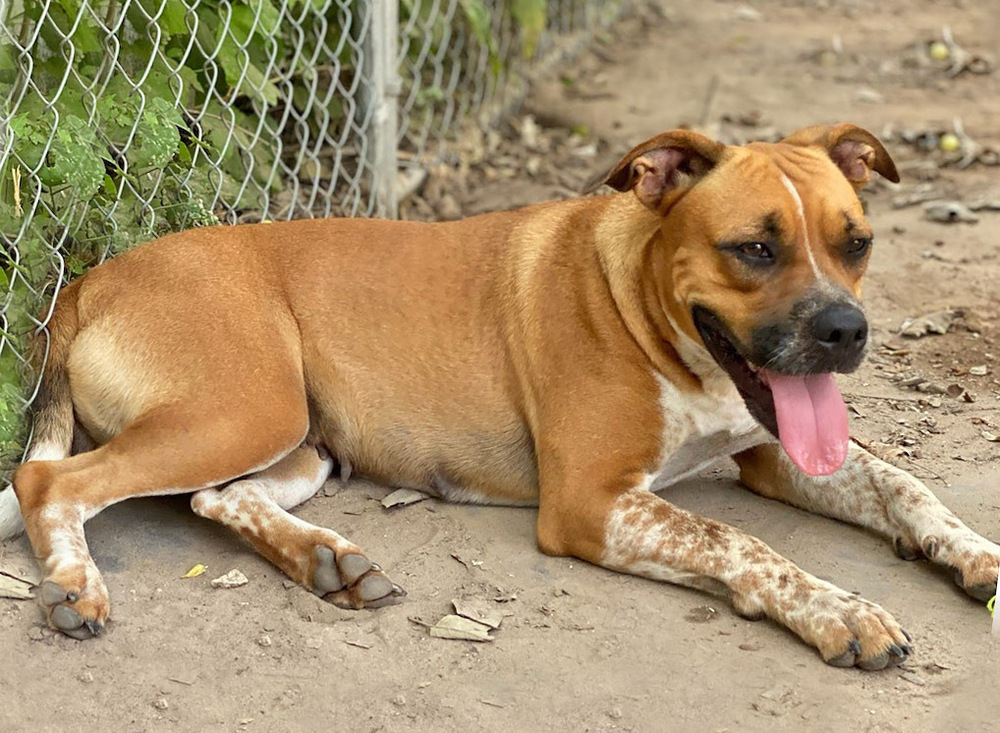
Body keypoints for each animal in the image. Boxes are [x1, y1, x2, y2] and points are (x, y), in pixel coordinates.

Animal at [1, 123, 1000, 668]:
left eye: (857, 241)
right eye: (753, 248)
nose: (845, 333)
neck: (647, 308)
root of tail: (86, 282)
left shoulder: (769, 449)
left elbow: (903, 484)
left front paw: (975, 552)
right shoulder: (593, 502)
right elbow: (739, 542)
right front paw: (839, 611)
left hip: (299, 438)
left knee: (218, 497)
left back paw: (327, 560)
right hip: (246, 409)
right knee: (49, 482)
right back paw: (75, 587)